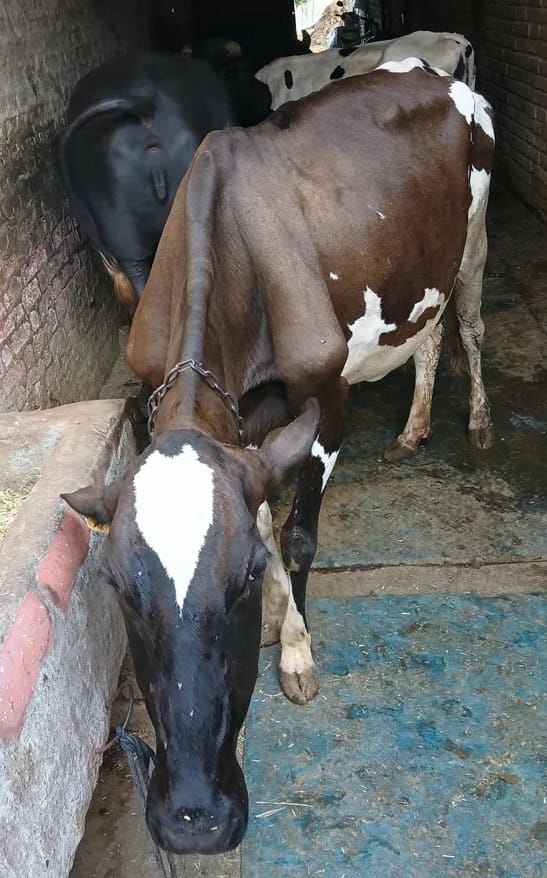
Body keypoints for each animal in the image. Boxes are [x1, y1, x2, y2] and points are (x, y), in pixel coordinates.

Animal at [62, 61, 495, 855]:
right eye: (116, 587)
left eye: (238, 581)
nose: (193, 819)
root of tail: (427, 68)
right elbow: (262, 514)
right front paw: (279, 619)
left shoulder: (326, 393)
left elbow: (296, 533)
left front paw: (294, 648)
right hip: (422, 269)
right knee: (428, 334)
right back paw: (415, 427)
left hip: (474, 237)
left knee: (470, 323)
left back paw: (475, 420)